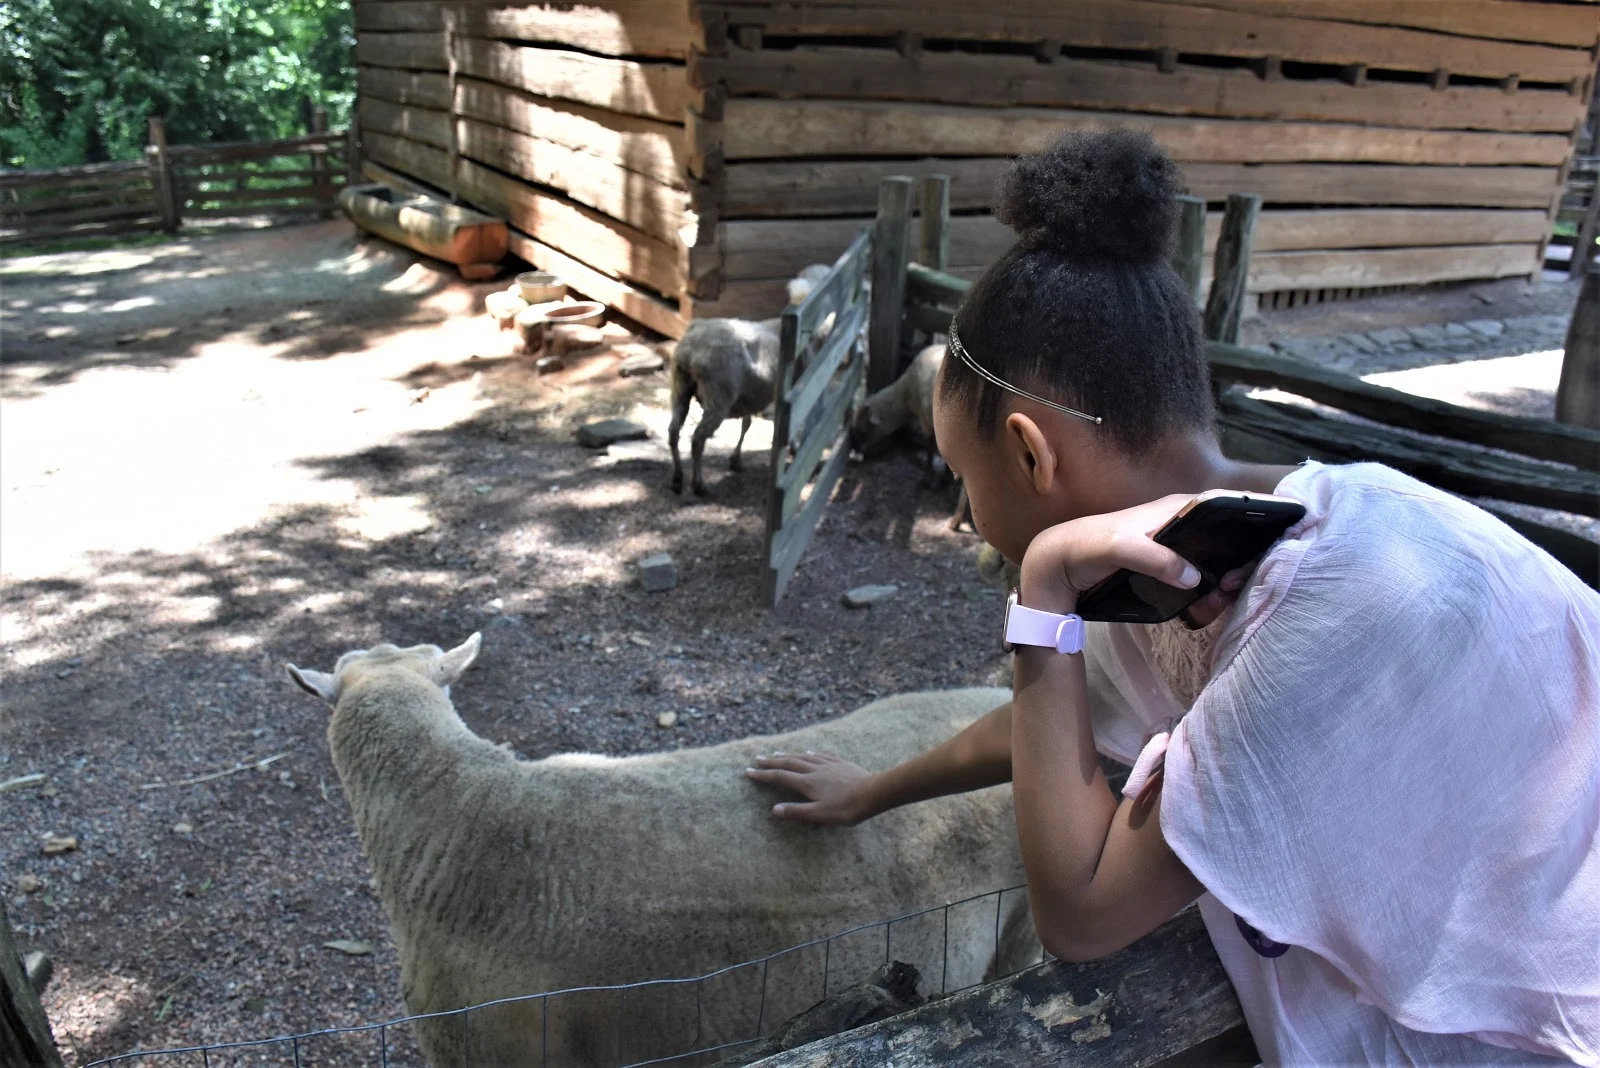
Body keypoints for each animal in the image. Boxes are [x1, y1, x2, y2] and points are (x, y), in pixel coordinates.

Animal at [668, 267, 832, 502]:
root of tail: (691, 349)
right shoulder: (789, 392)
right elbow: (788, 424)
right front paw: (793, 447)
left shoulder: (750, 395)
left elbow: (747, 423)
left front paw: (736, 459)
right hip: (718, 396)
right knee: (698, 439)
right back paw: (698, 485)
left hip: (680, 387)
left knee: (673, 432)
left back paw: (677, 478)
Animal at [851, 343, 972, 530]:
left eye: (862, 431)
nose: (855, 451)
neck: (904, 395)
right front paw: (944, 479)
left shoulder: (926, 420)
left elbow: (929, 448)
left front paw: (928, 479)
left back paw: (956, 520)